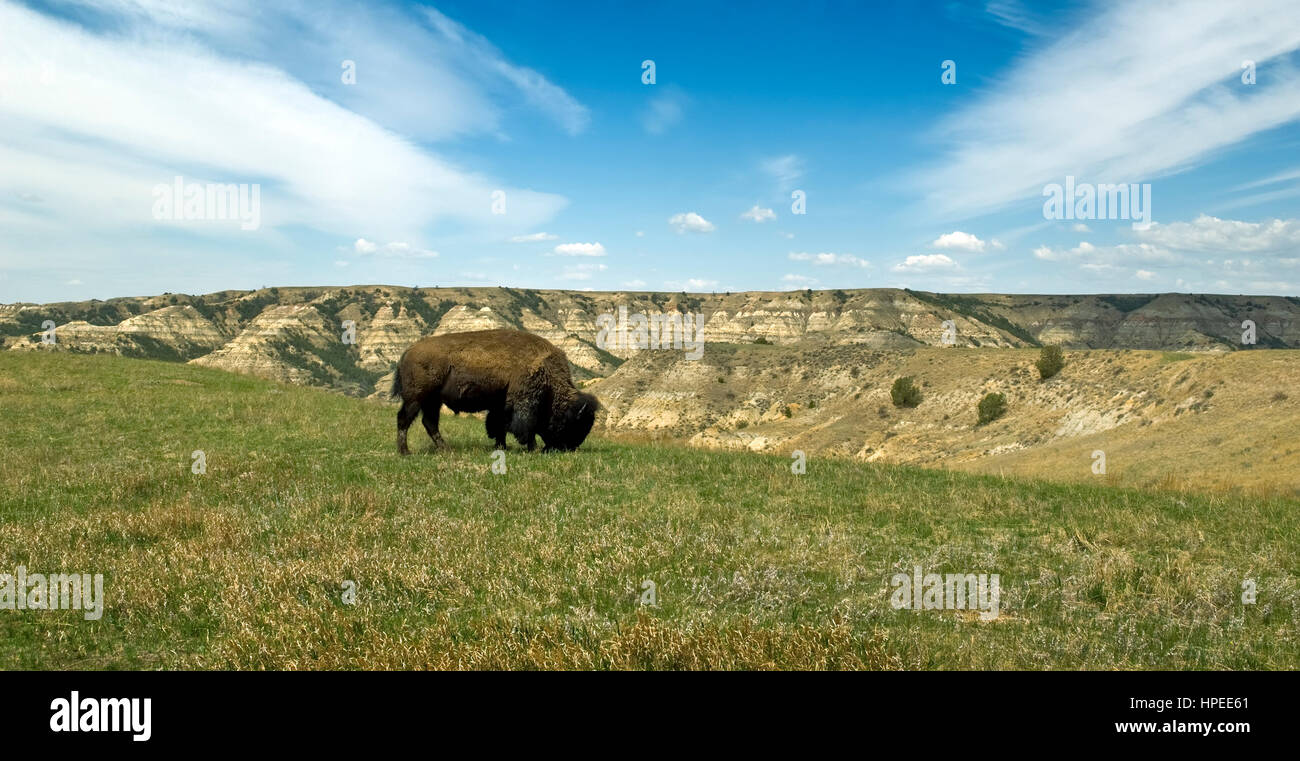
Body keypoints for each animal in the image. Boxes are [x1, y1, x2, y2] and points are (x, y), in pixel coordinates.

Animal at [390, 326, 598, 450]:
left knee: (429, 422)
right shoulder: (523, 403)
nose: (569, 448)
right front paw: (532, 447)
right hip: (416, 399)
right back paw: (405, 452)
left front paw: (501, 447)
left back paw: (445, 449)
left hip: (432, 401)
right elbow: (524, 426)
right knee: (404, 419)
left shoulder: (500, 405)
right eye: (574, 423)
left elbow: (499, 426)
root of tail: (408, 350)